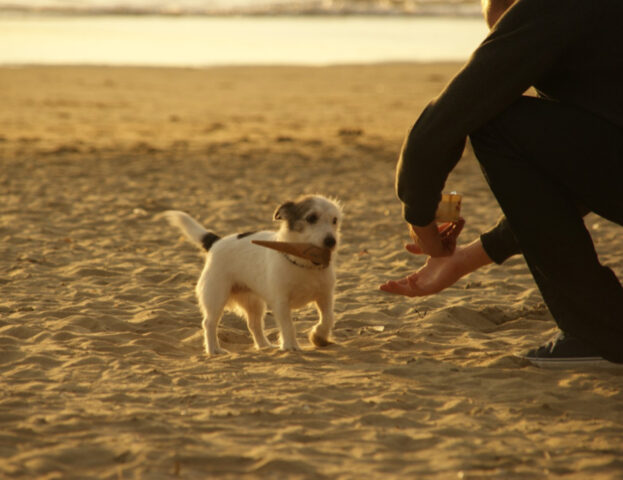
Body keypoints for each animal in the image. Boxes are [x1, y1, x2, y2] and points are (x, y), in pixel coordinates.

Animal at [161, 195, 344, 356]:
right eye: (311, 218)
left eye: (334, 220)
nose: (331, 241)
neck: (304, 263)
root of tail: (216, 241)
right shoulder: (281, 302)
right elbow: (288, 325)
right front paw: (290, 346)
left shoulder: (325, 296)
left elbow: (328, 318)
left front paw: (318, 336)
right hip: (216, 296)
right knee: (209, 323)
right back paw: (214, 350)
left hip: (253, 302)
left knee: (254, 324)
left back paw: (264, 346)